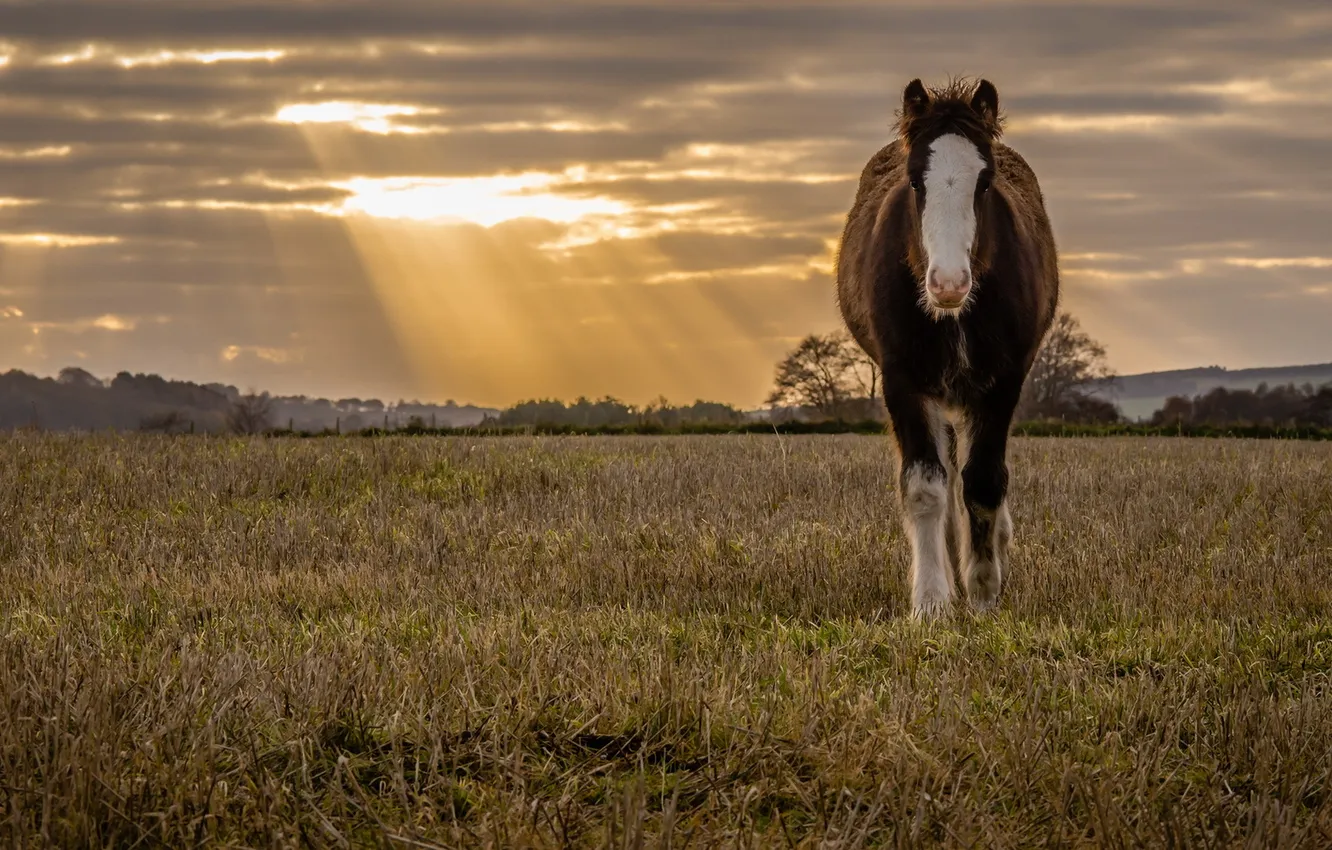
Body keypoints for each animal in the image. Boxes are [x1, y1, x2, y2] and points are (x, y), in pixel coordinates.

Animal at [836, 78, 1059, 619]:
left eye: (985, 182)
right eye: (916, 182)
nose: (949, 283)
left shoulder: (1003, 382)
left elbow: (983, 482)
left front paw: (982, 593)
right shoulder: (902, 380)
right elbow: (926, 486)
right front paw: (933, 602)